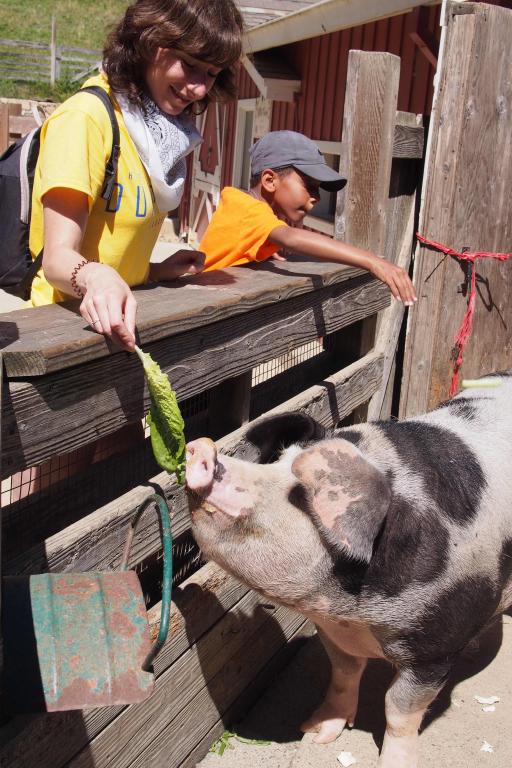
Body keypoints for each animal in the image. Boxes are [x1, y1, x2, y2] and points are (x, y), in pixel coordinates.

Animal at [186, 374, 512, 768]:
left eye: (301, 494)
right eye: (277, 459)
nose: (202, 448)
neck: (358, 613)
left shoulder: (434, 649)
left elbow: (399, 710)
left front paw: (393, 762)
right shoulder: (333, 629)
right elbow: (343, 674)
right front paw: (314, 731)